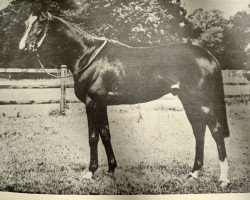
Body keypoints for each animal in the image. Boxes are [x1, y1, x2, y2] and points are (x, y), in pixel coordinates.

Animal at [19, 11, 230, 188]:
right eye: (26, 23)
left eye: (39, 23)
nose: (23, 47)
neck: (88, 56)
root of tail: (209, 56)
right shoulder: (101, 104)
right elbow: (105, 134)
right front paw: (111, 169)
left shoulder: (91, 103)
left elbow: (93, 137)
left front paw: (89, 173)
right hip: (189, 102)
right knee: (199, 131)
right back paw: (194, 173)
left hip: (203, 103)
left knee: (216, 131)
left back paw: (224, 179)